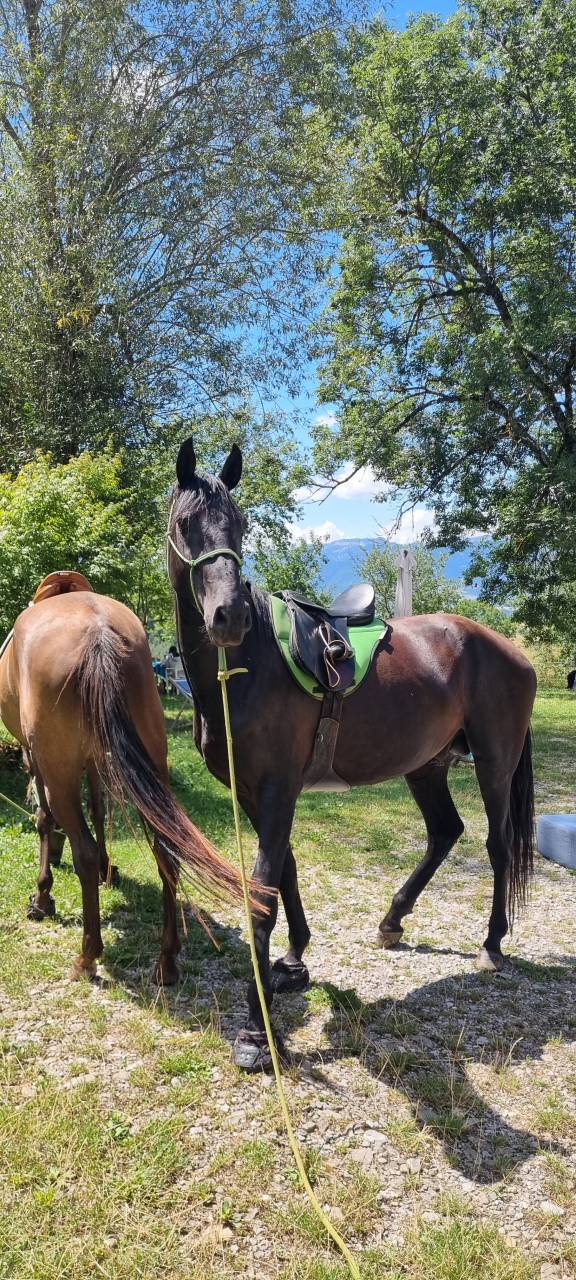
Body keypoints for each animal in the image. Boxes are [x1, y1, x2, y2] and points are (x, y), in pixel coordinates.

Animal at [0, 570, 249, 981]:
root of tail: (98, 633)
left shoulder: (38, 759)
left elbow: (44, 818)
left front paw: (42, 897)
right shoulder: (94, 757)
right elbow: (99, 808)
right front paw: (108, 868)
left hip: (59, 768)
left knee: (82, 849)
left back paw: (88, 955)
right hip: (152, 759)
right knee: (166, 850)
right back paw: (167, 960)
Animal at [167, 437, 537, 1072]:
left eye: (239, 525)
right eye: (187, 524)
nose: (229, 617)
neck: (252, 665)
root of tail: (510, 650)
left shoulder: (277, 789)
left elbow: (262, 891)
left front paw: (255, 1029)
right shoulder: (257, 793)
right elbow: (284, 871)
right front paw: (292, 962)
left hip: (494, 763)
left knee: (496, 843)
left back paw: (492, 943)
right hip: (427, 767)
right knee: (445, 832)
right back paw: (392, 921)